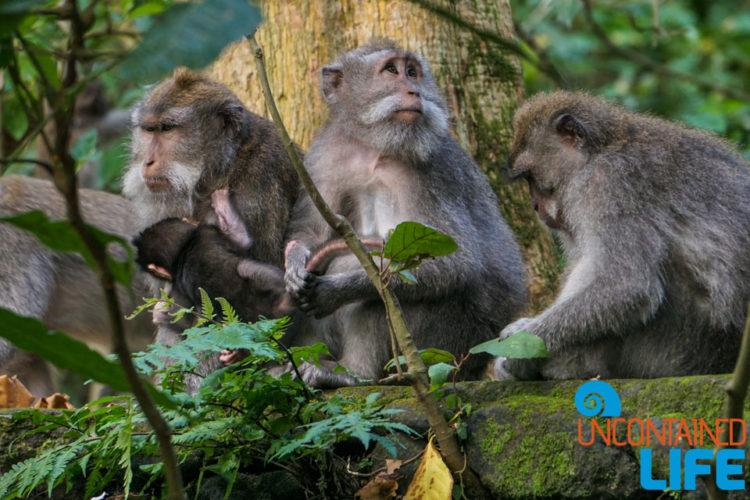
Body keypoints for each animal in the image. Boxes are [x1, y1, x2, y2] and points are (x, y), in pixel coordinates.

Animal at [284, 41, 528, 388]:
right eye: (391, 70)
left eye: (412, 72)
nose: (414, 90)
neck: (375, 148)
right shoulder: (326, 157)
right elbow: (312, 232)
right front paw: (293, 265)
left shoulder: (433, 173)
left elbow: (455, 265)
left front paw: (336, 290)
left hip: (443, 344)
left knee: (372, 284)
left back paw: (352, 374)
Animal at [496, 91, 750, 378]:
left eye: (531, 177)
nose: (535, 206)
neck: (602, 149)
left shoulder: (609, 184)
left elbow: (627, 287)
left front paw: (520, 351)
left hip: (683, 347)